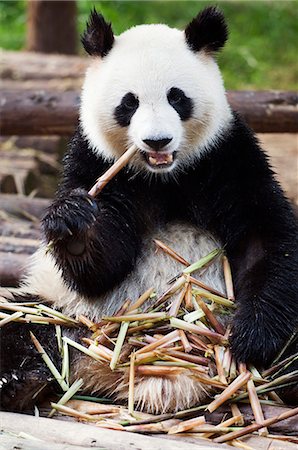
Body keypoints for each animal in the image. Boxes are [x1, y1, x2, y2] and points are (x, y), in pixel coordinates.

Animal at [0, 7, 298, 414]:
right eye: (129, 103)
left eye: (177, 97)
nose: (157, 141)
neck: (164, 177)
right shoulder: (94, 160)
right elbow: (103, 269)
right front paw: (74, 226)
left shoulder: (227, 155)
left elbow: (264, 238)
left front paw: (249, 339)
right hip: (63, 307)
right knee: (24, 322)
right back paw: (17, 380)